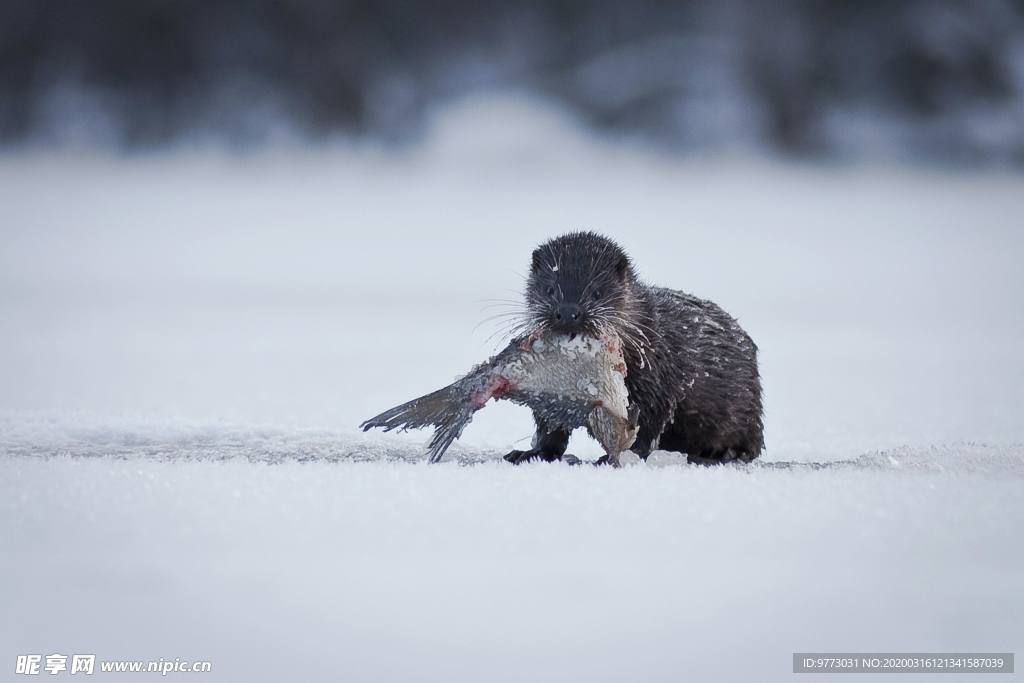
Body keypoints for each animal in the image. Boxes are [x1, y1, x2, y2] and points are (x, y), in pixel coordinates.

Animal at [503, 232, 761, 466]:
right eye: (550, 289)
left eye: (597, 292)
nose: (567, 312)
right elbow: (550, 426)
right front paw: (530, 453)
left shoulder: (657, 379)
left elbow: (647, 424)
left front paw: (618, 456)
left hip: (747, 411)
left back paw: (725, 454)